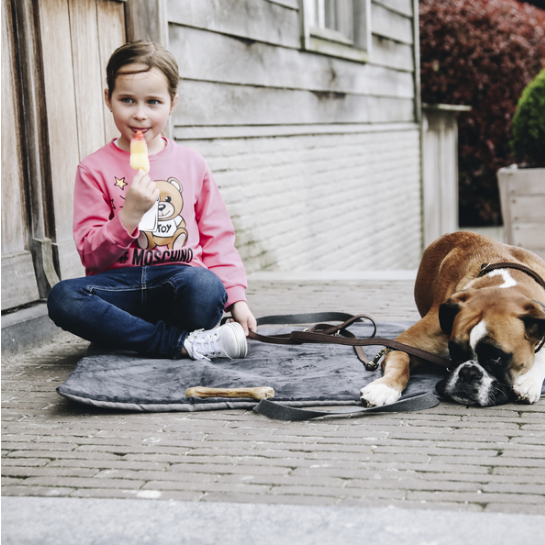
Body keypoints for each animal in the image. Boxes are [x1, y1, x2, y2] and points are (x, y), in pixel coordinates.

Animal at [362, 232, 544, 406]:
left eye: (496, 357)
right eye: (454, 351)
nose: (468, 373)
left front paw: (529, 381)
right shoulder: (404, 344)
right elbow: (399, 364)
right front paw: (384, 387)